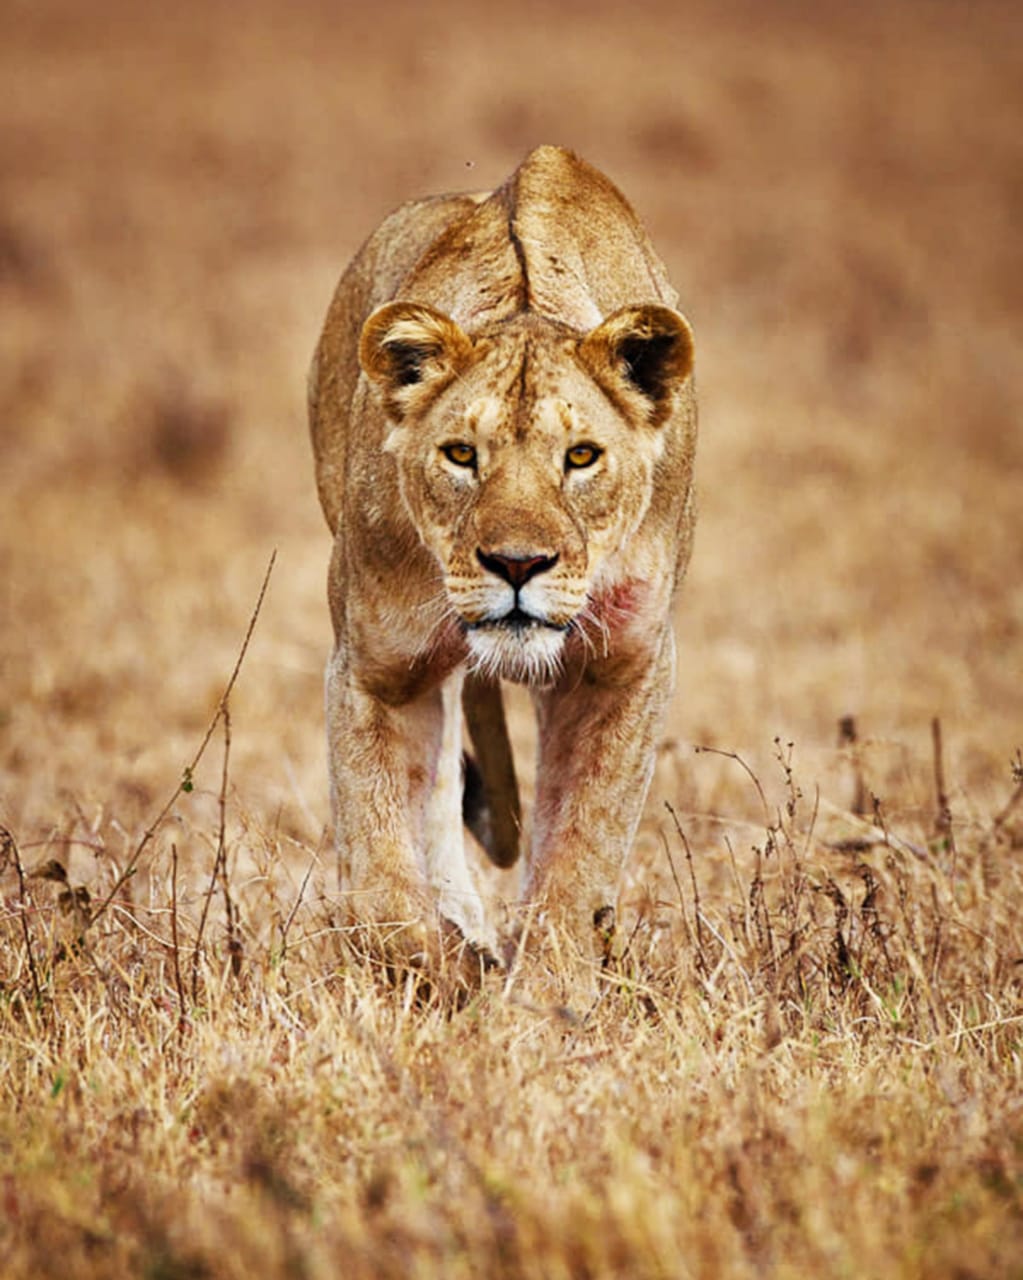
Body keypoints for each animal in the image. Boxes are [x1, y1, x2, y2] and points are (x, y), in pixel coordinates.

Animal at [308, 145, 696, 980]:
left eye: (580, 457)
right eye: (461, 455)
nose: (517, 565)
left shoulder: (623, 666)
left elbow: (579, 856)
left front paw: (543, 992)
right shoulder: (373, 668)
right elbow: (381, 885)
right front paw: (446, 974)